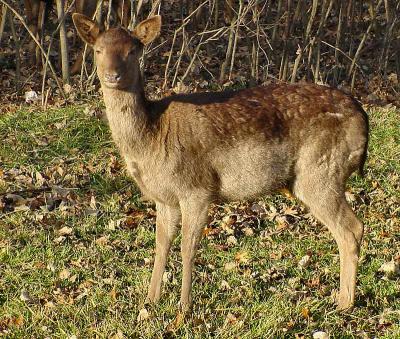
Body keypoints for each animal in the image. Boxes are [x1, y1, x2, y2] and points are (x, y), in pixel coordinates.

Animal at [72, 13, 368, 316]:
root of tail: (363, 119)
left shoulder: (198, 189)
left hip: (321, 171)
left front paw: (184, 307)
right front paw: (151, 300)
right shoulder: (164, 198)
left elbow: (188, 246)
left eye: (133, 51)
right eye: (98, 50)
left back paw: (344, 303)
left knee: (351, 228)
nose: (113, 76)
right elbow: (161, 244)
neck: (151, 138)